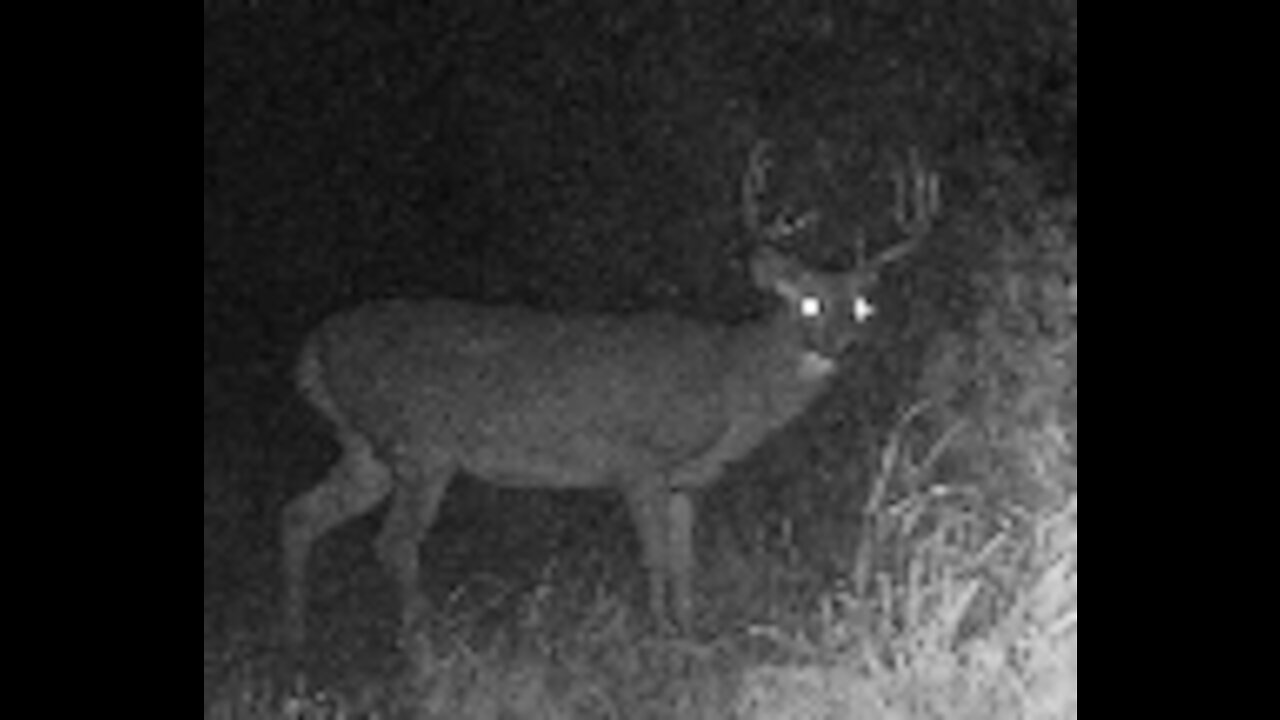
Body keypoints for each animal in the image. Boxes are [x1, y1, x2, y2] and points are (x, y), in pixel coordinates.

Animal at [280, 142, 921, 640]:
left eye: (862, 305)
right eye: (807, 303)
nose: (841, 346)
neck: (727, 383)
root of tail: (313, 347)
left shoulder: (686, 480)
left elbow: (686, 560)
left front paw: (692, 627)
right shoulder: (637, 460)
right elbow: (656, 555)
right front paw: (660, 632)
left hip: (367, 449)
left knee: (299, 515)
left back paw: (296, 639)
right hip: (420, 445)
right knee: (392, 543)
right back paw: (422, 646)